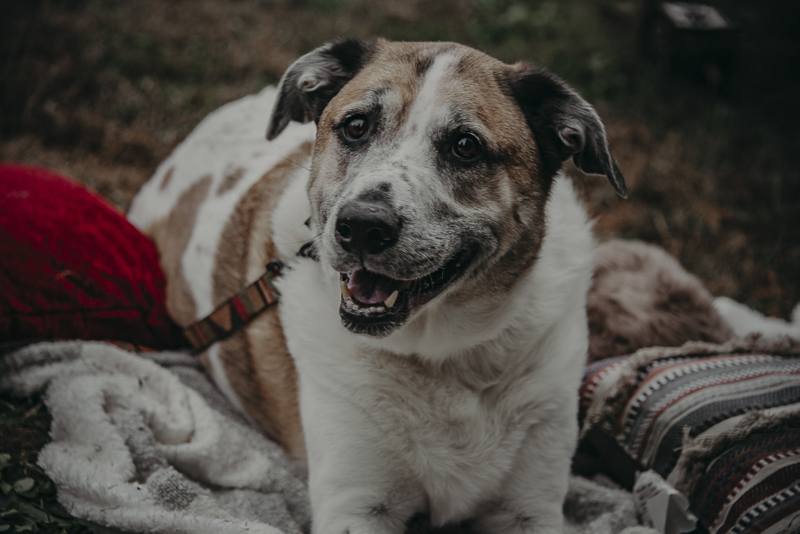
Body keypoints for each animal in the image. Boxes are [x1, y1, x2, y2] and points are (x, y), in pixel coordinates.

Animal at [128, 38, 632, 534]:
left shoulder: (528, 507)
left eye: (465, 146)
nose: (362, 226)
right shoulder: (357, 504)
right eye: (355, 126)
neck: (447, 354)